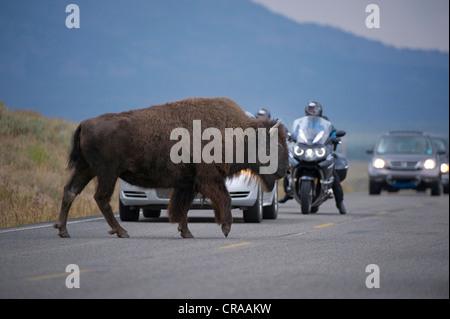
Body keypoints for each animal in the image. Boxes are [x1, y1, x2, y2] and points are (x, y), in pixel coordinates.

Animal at [53, 96, 288, 239]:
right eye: (276, 145)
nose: (286, 170)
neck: (240, 134)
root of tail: (85, 124)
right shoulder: (209, 179)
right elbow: (224, 199)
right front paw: (226, 228)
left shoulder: (188, 183)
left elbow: (180, 207)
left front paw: (186, 232)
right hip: (107, 173)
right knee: (101, 198)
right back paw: (121, 231)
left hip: (86, 169)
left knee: (70, 191)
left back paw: (63, 230)